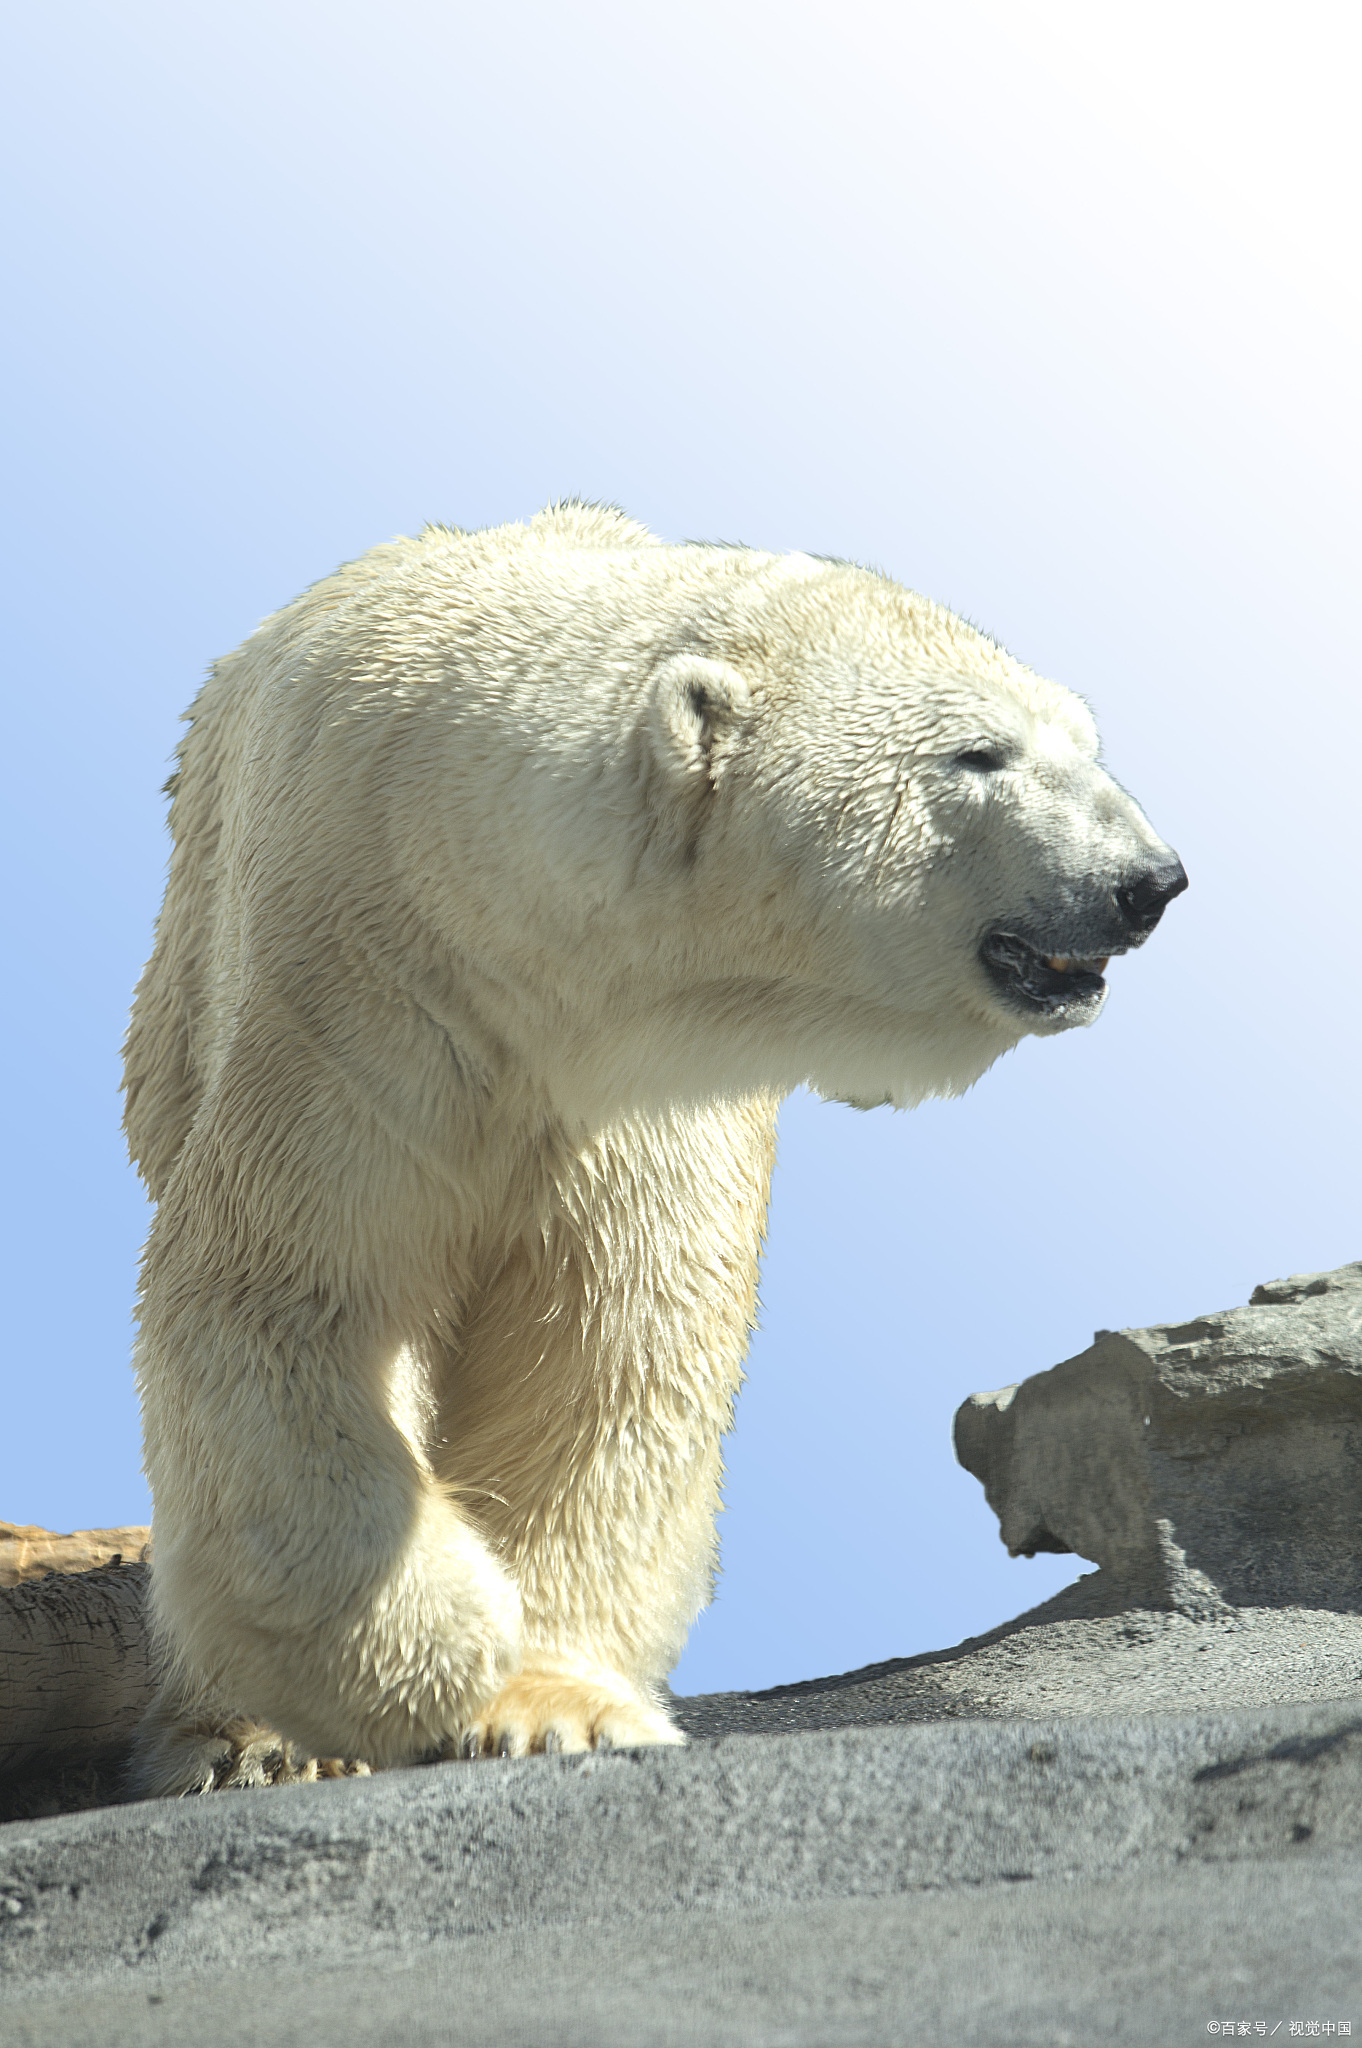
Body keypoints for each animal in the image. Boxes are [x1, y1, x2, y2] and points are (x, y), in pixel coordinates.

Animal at [122, 499, 1179, 1794]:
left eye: (1084, 738)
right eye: (977, 755)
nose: (1149, 881)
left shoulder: (649, 1089)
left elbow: (612, 1340)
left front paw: (551, 1704)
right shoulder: (361, 984)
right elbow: (290, 1293)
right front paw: (435, 1653)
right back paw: (247, 1740)